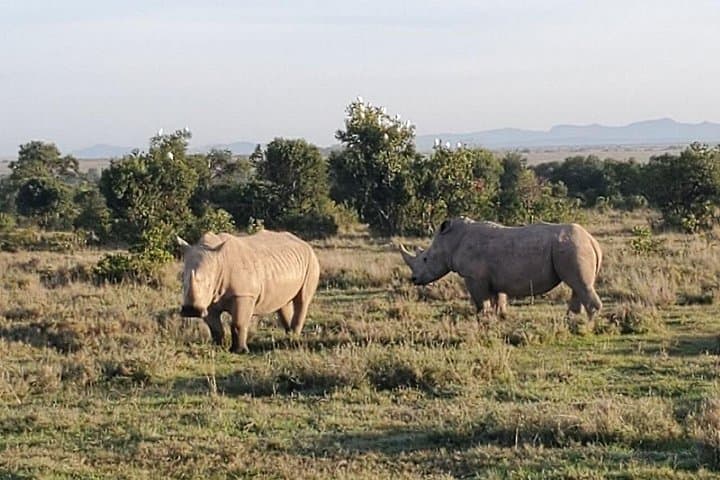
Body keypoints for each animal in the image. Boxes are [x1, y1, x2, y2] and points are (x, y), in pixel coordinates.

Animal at [177, 230, 320, 353]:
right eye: (183, 282)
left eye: (209, 284)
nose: (191, 310)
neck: (219, 262)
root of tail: (304, 242)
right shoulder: (209, 301)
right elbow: (215, 327)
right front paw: (220, 347)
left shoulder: (243, 294)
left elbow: (238, 323)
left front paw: (239, 351)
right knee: (283, 302)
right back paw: (288, 335)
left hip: (312, 260)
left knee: (302, 300)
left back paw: (293, 338)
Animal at [400, 217, 602, 319]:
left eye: (425, 259)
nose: (414, 279)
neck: (450, 241)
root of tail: (592, 241)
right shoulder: (493, 278)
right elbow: (498, 299)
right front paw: (499, 316)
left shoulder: (474, 276)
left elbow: (480, 300)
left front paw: (482, 318)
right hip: (574, 247)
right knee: (577, 286)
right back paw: (572, 321)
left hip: (573, 247)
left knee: (579, 285)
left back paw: (586, 327)